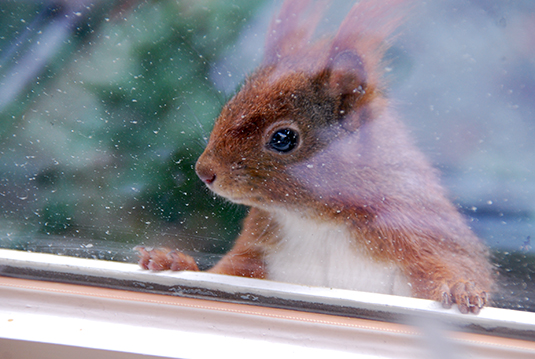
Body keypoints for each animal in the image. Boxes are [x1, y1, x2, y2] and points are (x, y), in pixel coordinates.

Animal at [138, 0, 494, 316]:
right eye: (228, 107)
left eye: (283, 138)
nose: (204, 171)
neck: (319, 221)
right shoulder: (256, 252)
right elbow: (221, 273)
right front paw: (172, 261)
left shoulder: (418, 230)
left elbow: (450, 265)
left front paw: (461, 289)